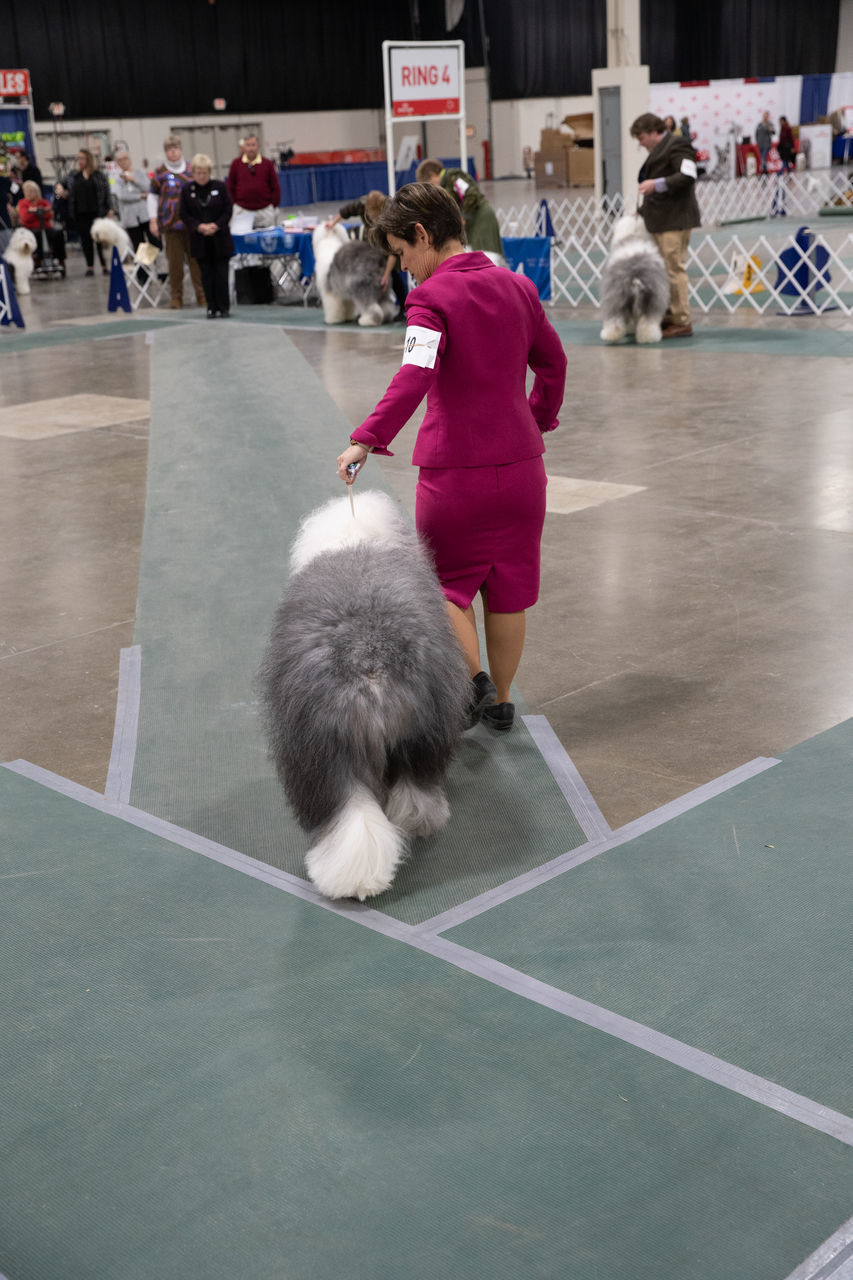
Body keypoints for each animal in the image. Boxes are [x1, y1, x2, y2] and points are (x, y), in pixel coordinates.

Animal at [594, 215, 666, 345]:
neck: (634, 234)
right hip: (650, 300)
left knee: (615, 322)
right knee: (647, 323)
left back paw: (609, 336)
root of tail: (635, 276)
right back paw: (648, 338)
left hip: (616, 298)